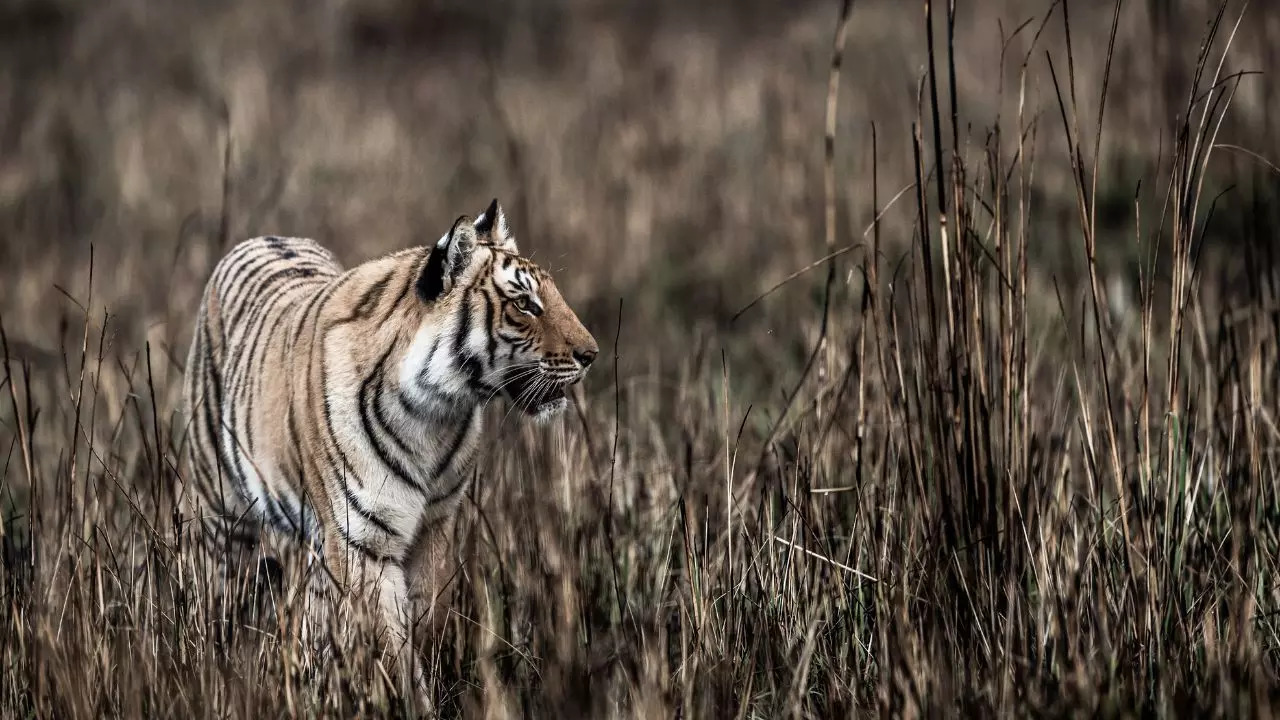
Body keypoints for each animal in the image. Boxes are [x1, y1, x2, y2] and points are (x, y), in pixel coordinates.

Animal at [179, 196, 599, 696]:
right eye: (524, 304)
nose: (592, 354)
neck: (437, 412)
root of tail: (265, 237)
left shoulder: (434, 528)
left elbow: (422, 618)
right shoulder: (362, 543)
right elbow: (391, 645)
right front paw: (408, 698)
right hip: (219, 511)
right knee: (216, 588)